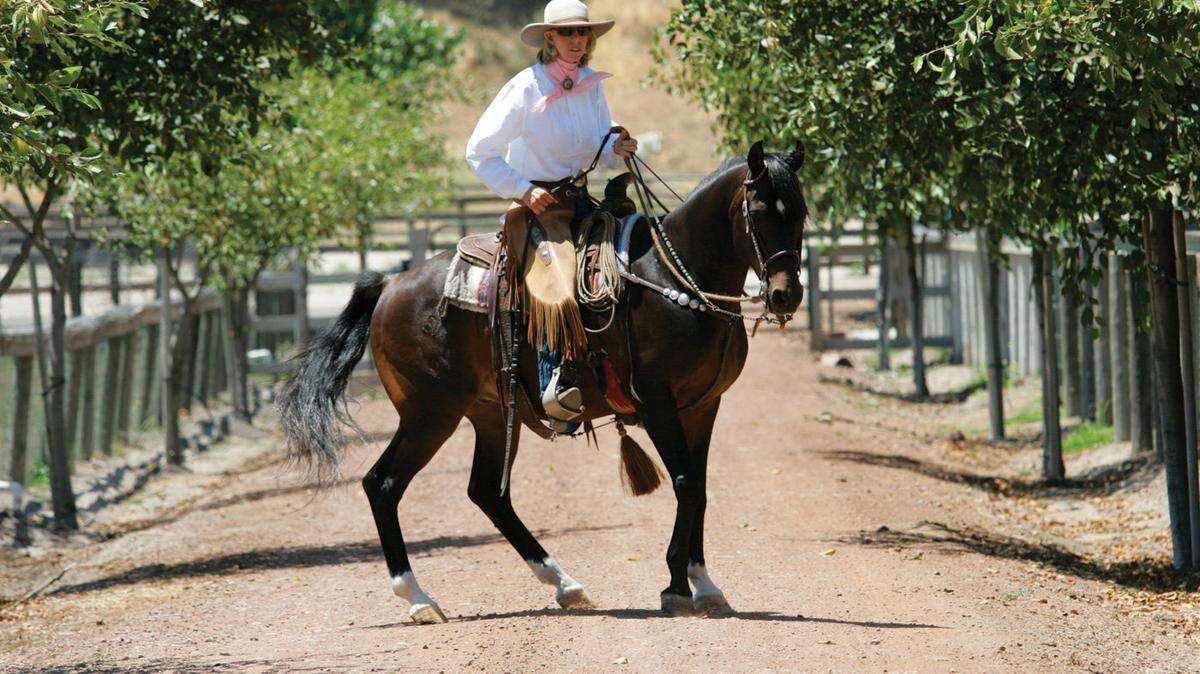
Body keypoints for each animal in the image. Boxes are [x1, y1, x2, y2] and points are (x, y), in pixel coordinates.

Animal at [278, 140, 807, 623]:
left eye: (801, 211)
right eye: (760, 211)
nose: (786, 295)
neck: (673, 276)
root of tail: (391, 285)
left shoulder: (703, 406)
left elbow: (699, 486)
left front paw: (705, 584)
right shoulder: (659, 403)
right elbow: (684, 483)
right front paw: (676, 586)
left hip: (489, 414)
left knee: (486, 492)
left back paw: (564, 584)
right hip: (429, 414)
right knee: (383, 484)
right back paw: (419, 599)